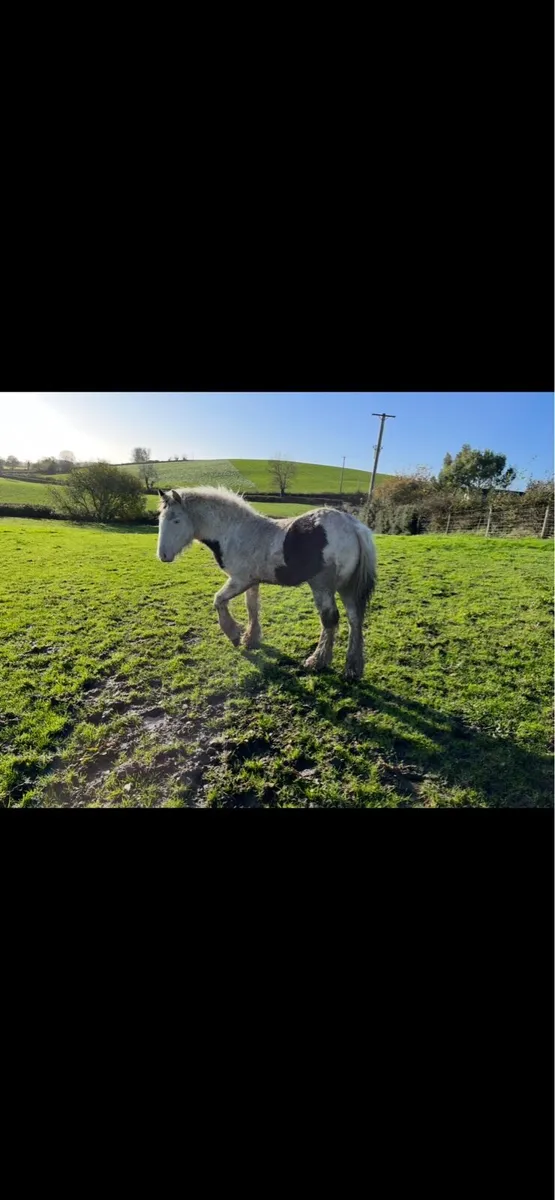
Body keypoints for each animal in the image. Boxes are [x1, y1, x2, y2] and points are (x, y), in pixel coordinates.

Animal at [156, 487, 377, 680]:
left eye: (176, 520)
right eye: (160, 519)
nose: (163, 556)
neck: (235, 531)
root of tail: (353, 526)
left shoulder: (240, 580)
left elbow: (218, 600)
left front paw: (234, 635)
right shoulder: (252, 582)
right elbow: (251, 607)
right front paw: (251, 639)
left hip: (322, 586)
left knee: (330, 619)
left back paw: (318, 660)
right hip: (347, 587)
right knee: (355, 619)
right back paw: (353, 668)